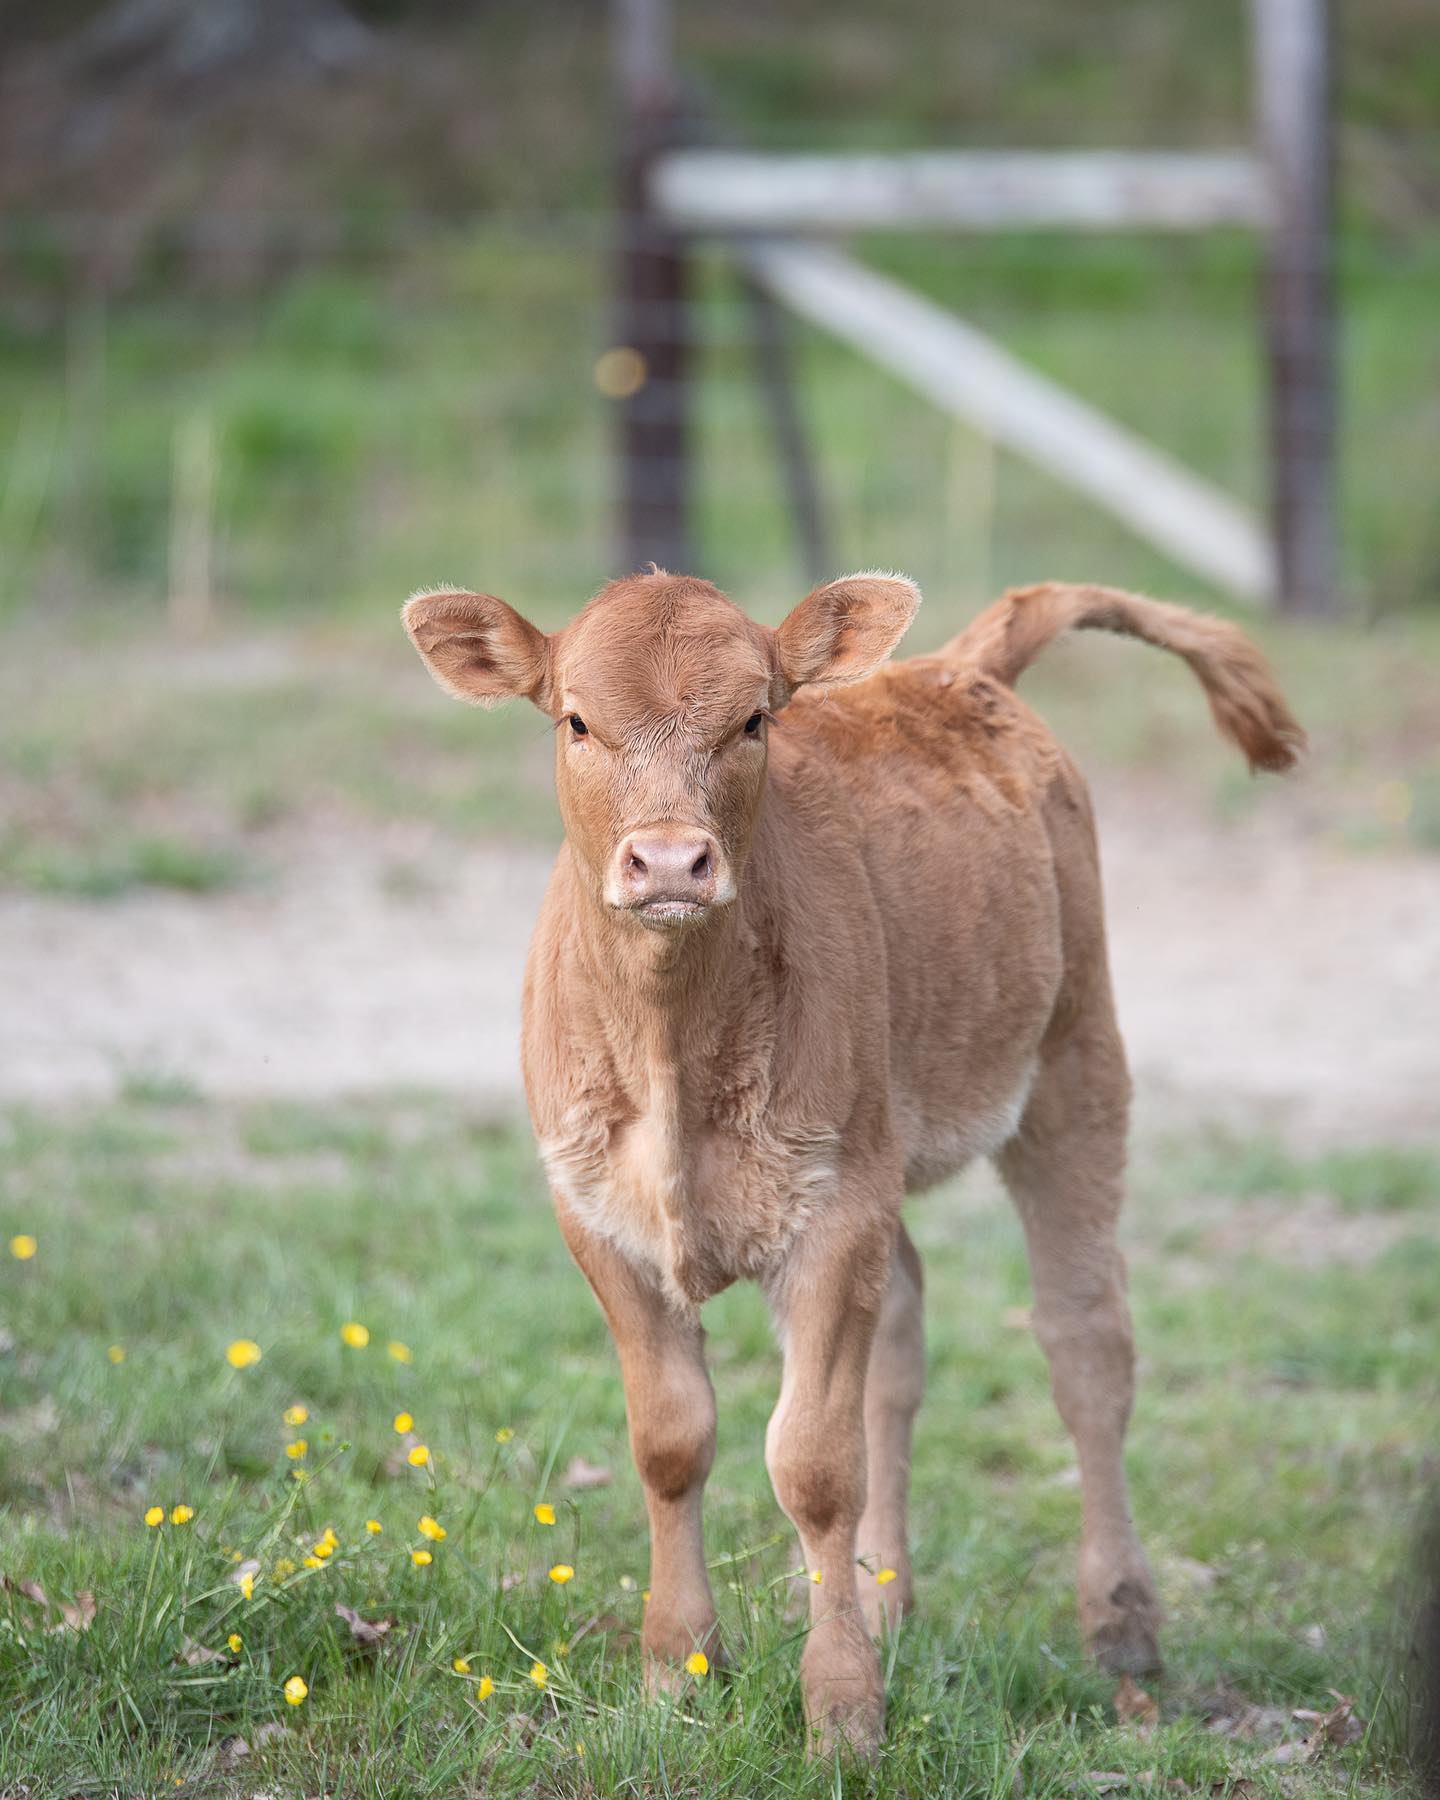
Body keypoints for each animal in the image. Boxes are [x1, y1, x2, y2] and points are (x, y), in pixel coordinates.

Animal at [403, 570, 1303, 1756]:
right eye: (577, 721)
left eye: (753, 719)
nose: (671, 862)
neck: (673, 1051)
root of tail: (958, 665)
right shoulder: (597, 1215)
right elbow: (672, 1440)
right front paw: (678, 1671)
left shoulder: (835, 1213)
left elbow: (814, 1465)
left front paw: (840, 1708)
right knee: (906, 1328)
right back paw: (886, 1597)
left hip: (1074, 1058)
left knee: (1085, 1341)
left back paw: (1120, 1626)